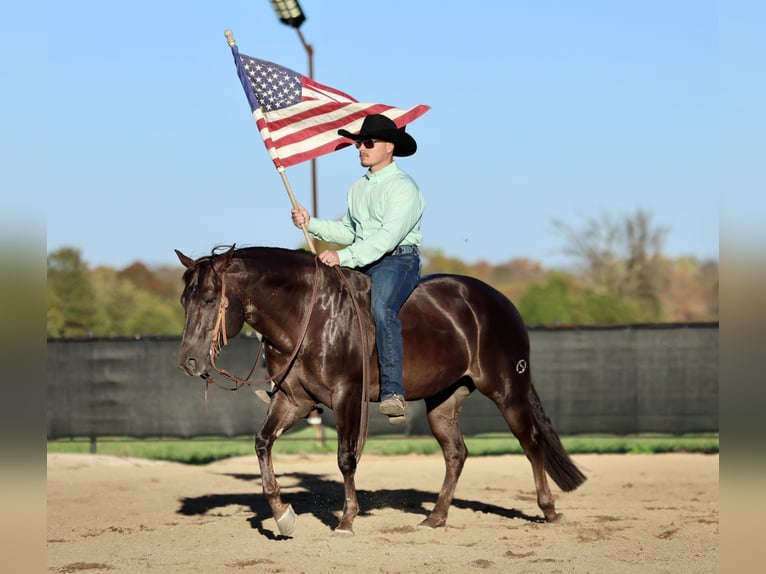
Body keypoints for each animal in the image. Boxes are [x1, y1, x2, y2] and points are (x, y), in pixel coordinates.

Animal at [175, 245, 586, 536]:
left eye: (210, 299)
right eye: (184, 300)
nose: (188, 361)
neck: (312, 315)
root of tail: (500, 303)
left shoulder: (346, 397)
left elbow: (346, 458)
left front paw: (346, 521)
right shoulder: (294, 401)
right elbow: (262, 443)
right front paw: (282, 516)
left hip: (507, 390)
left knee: (531, 442)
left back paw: (549, 510)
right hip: (444, 400)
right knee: (456, 453)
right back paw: (435, 518)